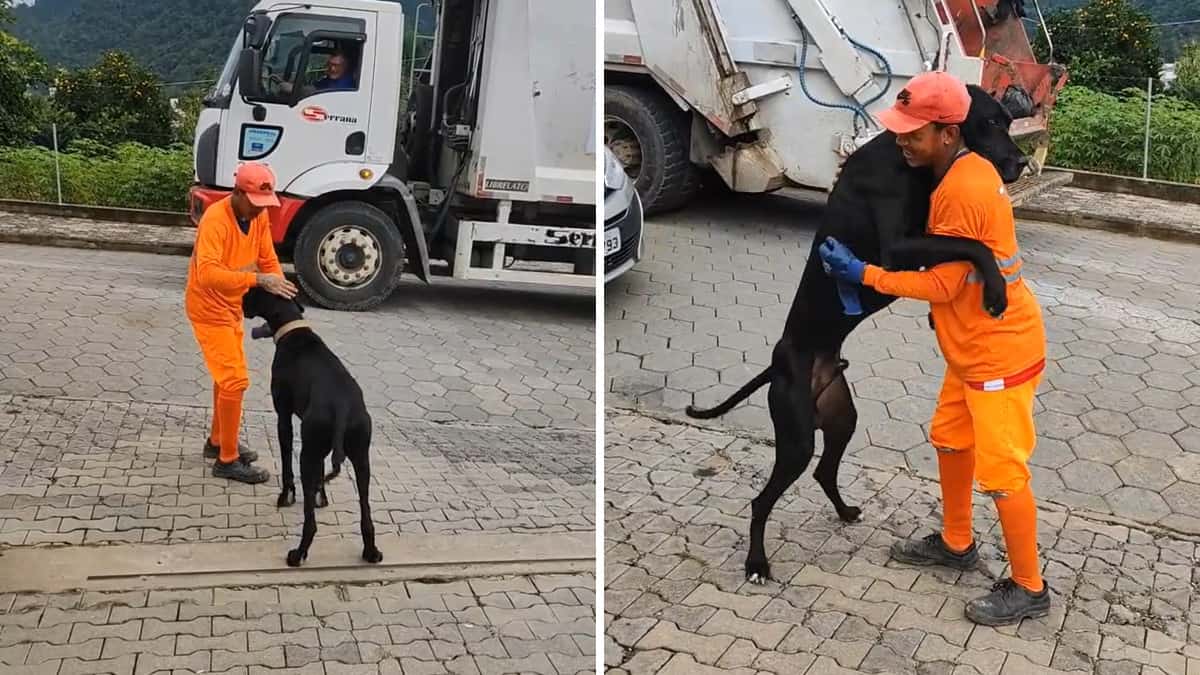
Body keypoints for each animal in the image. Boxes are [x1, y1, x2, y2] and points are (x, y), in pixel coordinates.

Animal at [247, 285, 386, 564]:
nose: (242, 300)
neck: (293, 328)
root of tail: (343, 406)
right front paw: (323, 497)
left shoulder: (284, 418)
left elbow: (286, 463)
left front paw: (286, 496)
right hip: (361, 458)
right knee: (366, 514)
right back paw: (370, 551)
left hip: (307, 455)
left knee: (310, 523)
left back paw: (298, 553)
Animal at [691, 84, 1027, 581]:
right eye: (988, 121)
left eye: (1008, 120)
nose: (1020, 163)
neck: (906, 157)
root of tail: (781, 361)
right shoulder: (899, 247)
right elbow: (971, 244)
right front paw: (996, 287)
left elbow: (959, 245)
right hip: (796, 437)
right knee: (761, 500)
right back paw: (757, 562)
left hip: (840, 418)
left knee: (823, 472)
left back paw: (846, 511)